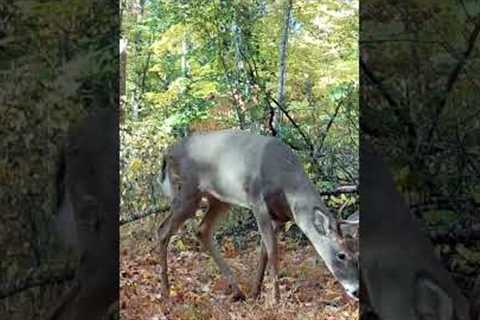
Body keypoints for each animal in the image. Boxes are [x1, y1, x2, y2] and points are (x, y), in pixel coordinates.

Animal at [156, 128, 358, 302]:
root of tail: (167, 153)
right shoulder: (256, 200)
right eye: (341, 255)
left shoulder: (279, 217)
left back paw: (238, 291)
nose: (356, 291)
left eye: (357, 255)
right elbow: (272, 249)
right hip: (187, 191)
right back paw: (166, 293)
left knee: (202, 229)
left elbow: (264, 251)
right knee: (162, 229)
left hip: (219, 199)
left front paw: (256, 292)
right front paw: (276, 299)